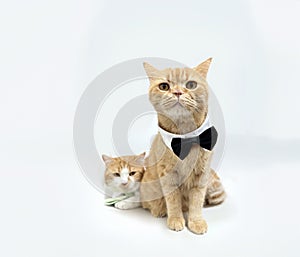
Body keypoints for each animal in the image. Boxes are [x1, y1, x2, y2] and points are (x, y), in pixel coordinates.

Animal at [141, 58, 225, 234]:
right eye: (164, 86)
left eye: (191, 84)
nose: (178, 92)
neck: (187, 138)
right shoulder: (168, 175)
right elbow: (173, 200)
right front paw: (175, 219)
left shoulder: (202, 176)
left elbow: (196, 202)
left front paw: (196, 222)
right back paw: (159, 210)